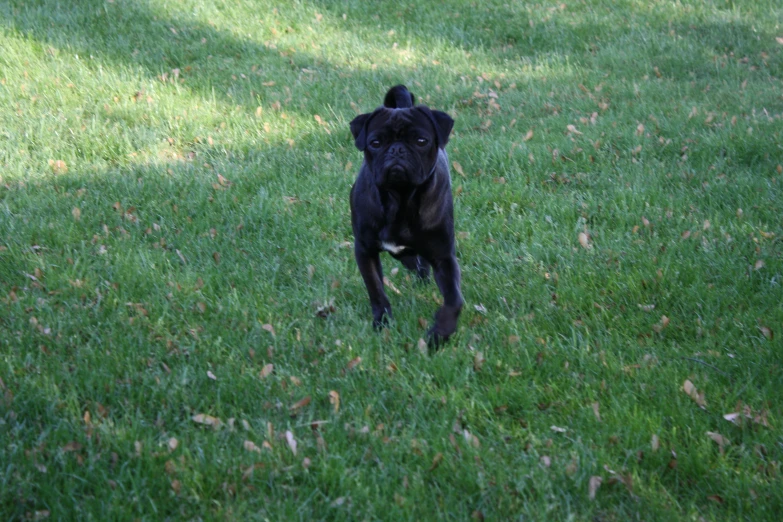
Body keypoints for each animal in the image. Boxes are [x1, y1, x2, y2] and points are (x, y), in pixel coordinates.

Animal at [350, 85, 466, 346]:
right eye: (375, 142)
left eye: (421, 141)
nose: (397, 149)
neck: (399, 200)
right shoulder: (365, 250)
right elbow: (376, 290)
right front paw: (382, 322)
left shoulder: (443, 256)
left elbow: (454, 300)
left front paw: (440, 334)